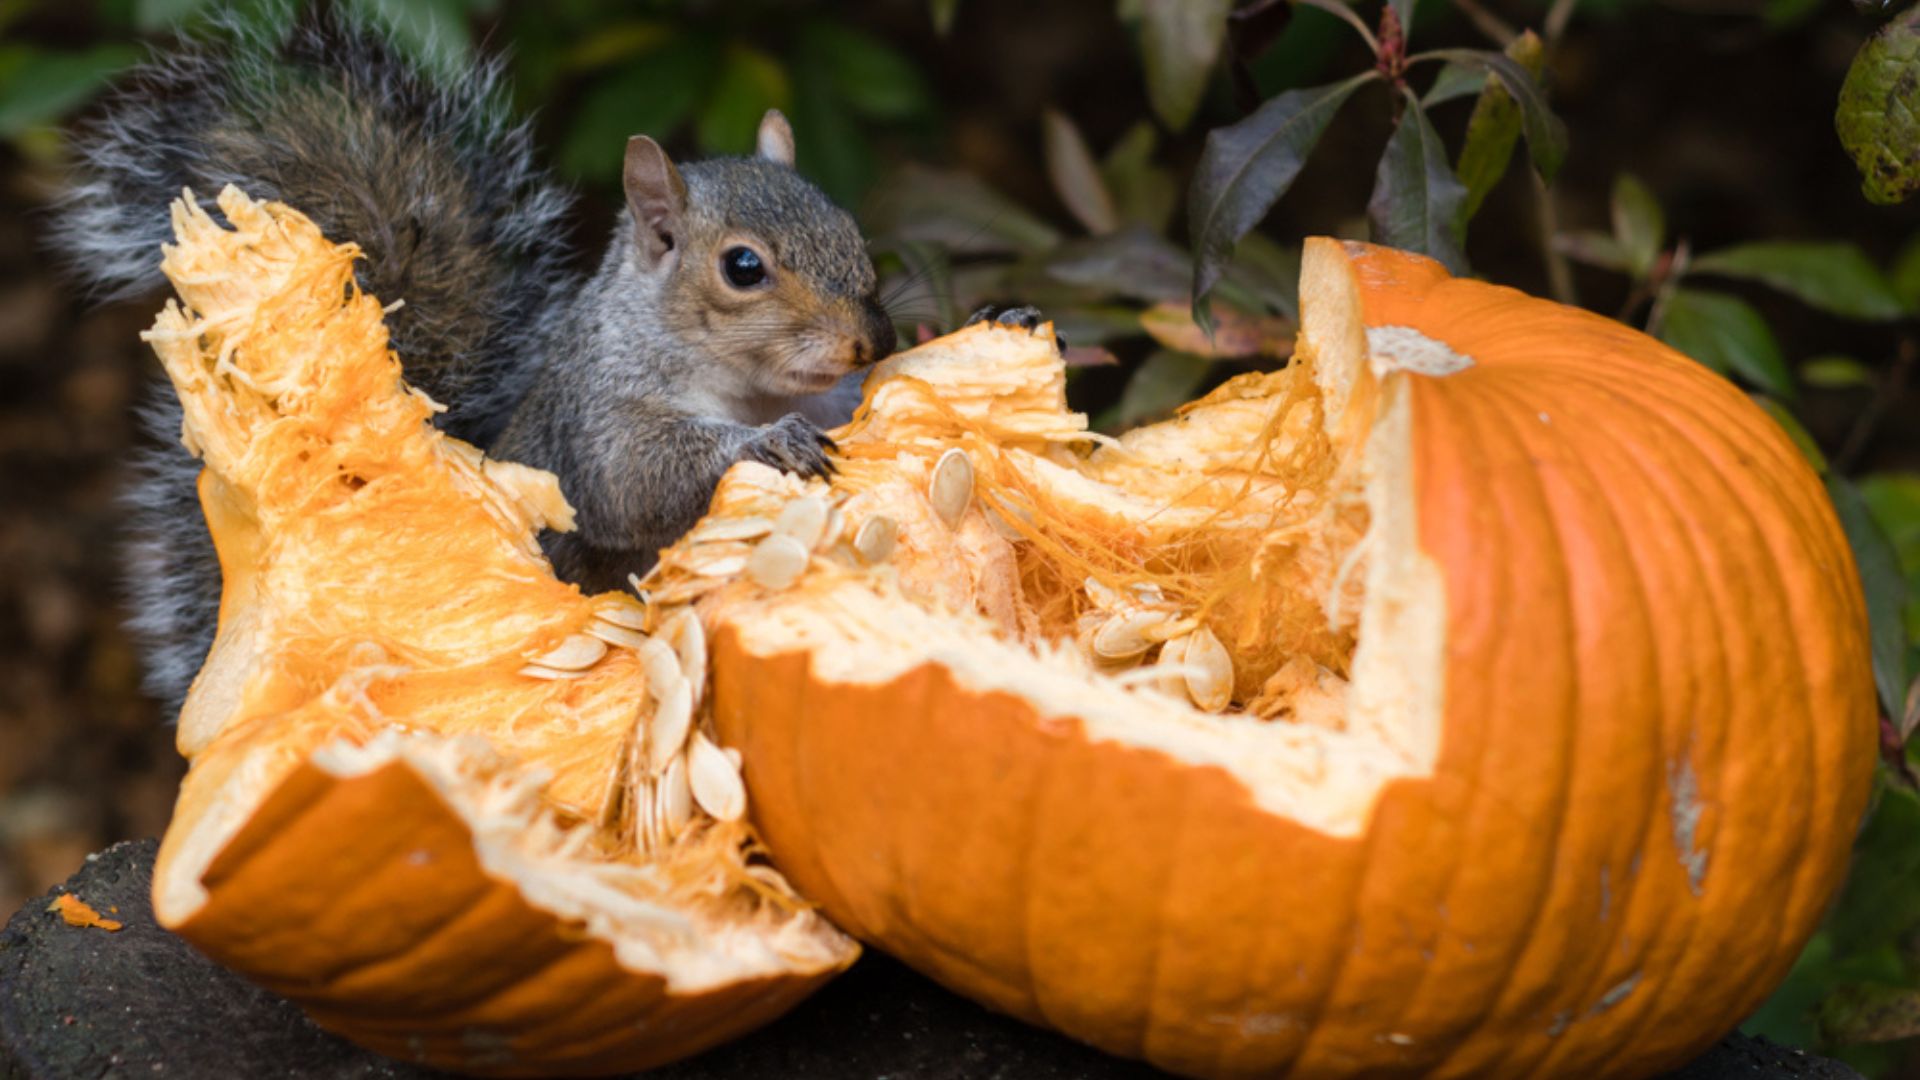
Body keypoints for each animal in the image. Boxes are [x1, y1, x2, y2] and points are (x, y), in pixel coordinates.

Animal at [48, 14, 917, 714]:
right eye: (742, 267)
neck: (745, 385)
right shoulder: (599, 412)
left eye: (849, 226)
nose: (870, 340)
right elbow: (634, 483)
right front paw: (769, 443)